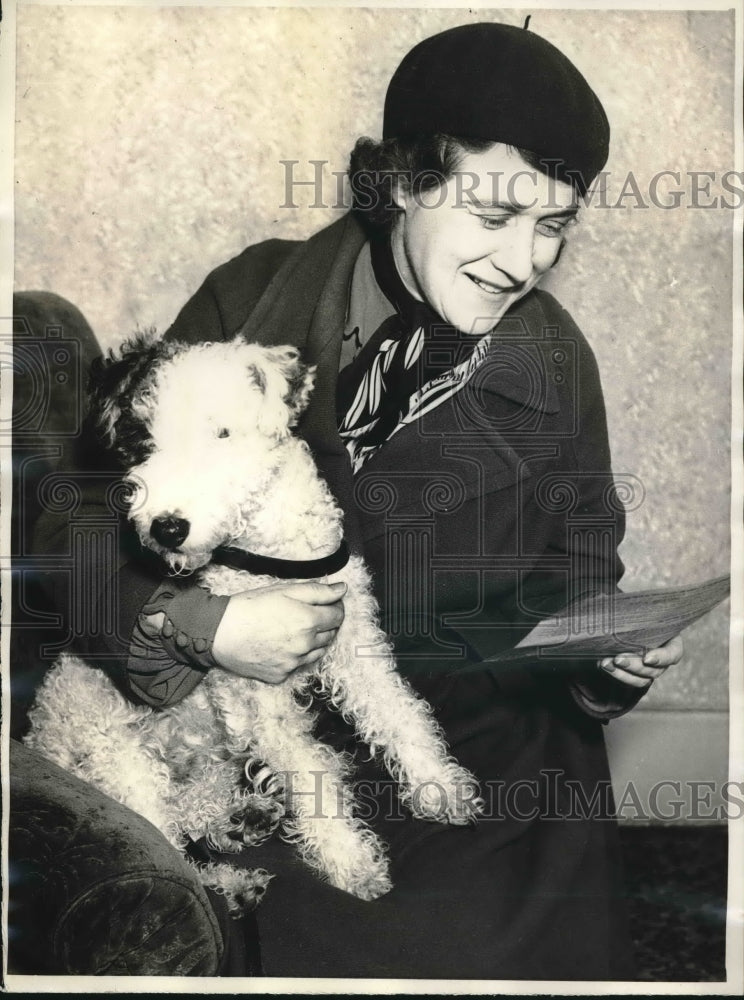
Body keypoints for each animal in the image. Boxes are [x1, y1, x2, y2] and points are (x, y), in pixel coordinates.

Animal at [26, 336, 482, 916]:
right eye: (143, 441)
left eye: (223, 433)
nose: (167, 528)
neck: (271, 554)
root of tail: (41, 740)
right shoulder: (260, 698)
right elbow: (311, 772)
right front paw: (351, 861)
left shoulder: (355, 643)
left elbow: (399, 714)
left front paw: (438, 785)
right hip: (125, 767)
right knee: (175, 852)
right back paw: (235, 880)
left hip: (206, 757)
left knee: (192, 807)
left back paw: (242, 821)